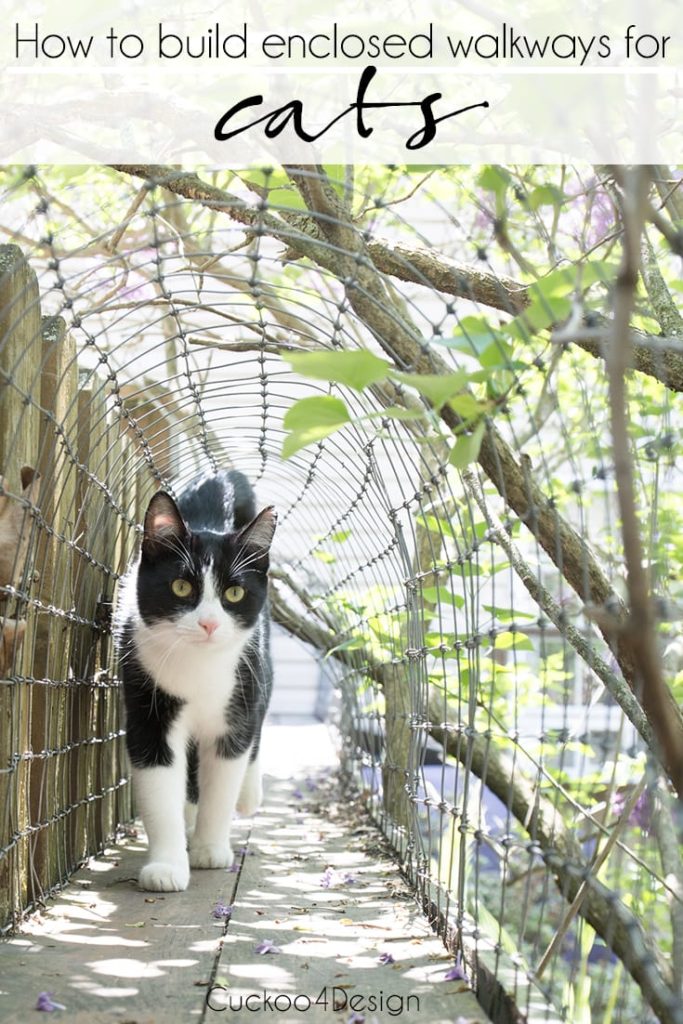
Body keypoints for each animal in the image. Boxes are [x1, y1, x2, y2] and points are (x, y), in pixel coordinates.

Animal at [116, 468, 276, 892]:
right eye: (181, 586)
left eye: (234, 592)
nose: (208, 623)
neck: (199, 667)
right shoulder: (148, 704)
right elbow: (159, 783)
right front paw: (167, 866)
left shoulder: (238, 701)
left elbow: (224, 778)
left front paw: (210, 849)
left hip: (260, 666)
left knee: (258, 724)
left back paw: (249, 794)